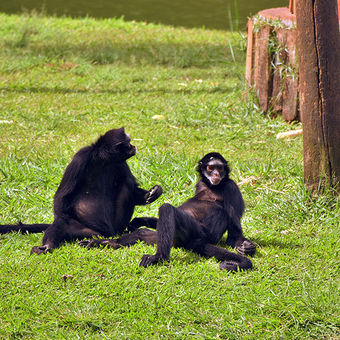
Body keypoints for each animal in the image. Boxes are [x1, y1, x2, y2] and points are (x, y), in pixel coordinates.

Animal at [0, 128, 162, 255]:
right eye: (128, 143)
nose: (133, 146)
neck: (103, 161)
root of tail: (110, 232)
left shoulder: (120, 163)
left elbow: (133, 190)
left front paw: (153, 193)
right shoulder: (80, 159)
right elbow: (61, 199)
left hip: (117, 225)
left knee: (126, 184)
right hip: (90, 231)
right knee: (64, 222)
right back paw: (49, 245)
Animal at [79, 153, 255, 272]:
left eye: (220, 168)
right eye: (210, 168)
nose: (216, 174)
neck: (211, 186)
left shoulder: (231, 187)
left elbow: (234, 234)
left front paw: (245, 246)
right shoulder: (200, 183)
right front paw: (138, 221)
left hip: (196, 232)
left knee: (167, 209)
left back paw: (159, 258)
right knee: (142, 233)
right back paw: (109, 243)